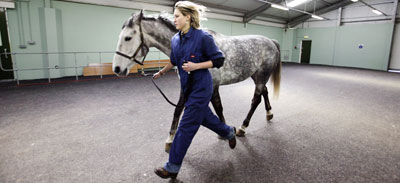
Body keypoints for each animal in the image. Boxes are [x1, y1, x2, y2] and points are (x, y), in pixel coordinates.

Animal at [111, 10, 282, 152]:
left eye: (128, 38)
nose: (117, 69)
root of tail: (271, 41)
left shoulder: (213, 86)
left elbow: (218, 108)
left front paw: (225, 132)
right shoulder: (185, 86)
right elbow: (178, 109)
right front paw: (170, 140)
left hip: (261, 75)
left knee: (256, 100)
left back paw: (243, 127)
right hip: (257, 76)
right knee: (264, 92)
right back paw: (269, 113)